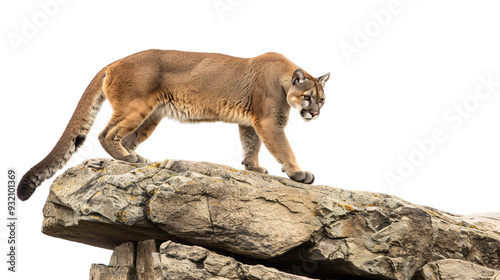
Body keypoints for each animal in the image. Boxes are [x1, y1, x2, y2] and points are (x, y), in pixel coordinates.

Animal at [19, 49, 330, 200]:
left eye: (322, 100)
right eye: (307, 97)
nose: (314, 114)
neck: (284, 78)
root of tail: (116, 61)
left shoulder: (251, 122)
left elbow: (250, 145)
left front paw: (253, 168)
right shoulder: (269, 122)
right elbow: (284, 148)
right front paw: (298, 173)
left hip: (151, 117)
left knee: (125, 137)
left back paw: (135, 158)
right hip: (136, 108)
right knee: (106, 134)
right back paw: (126, 158)